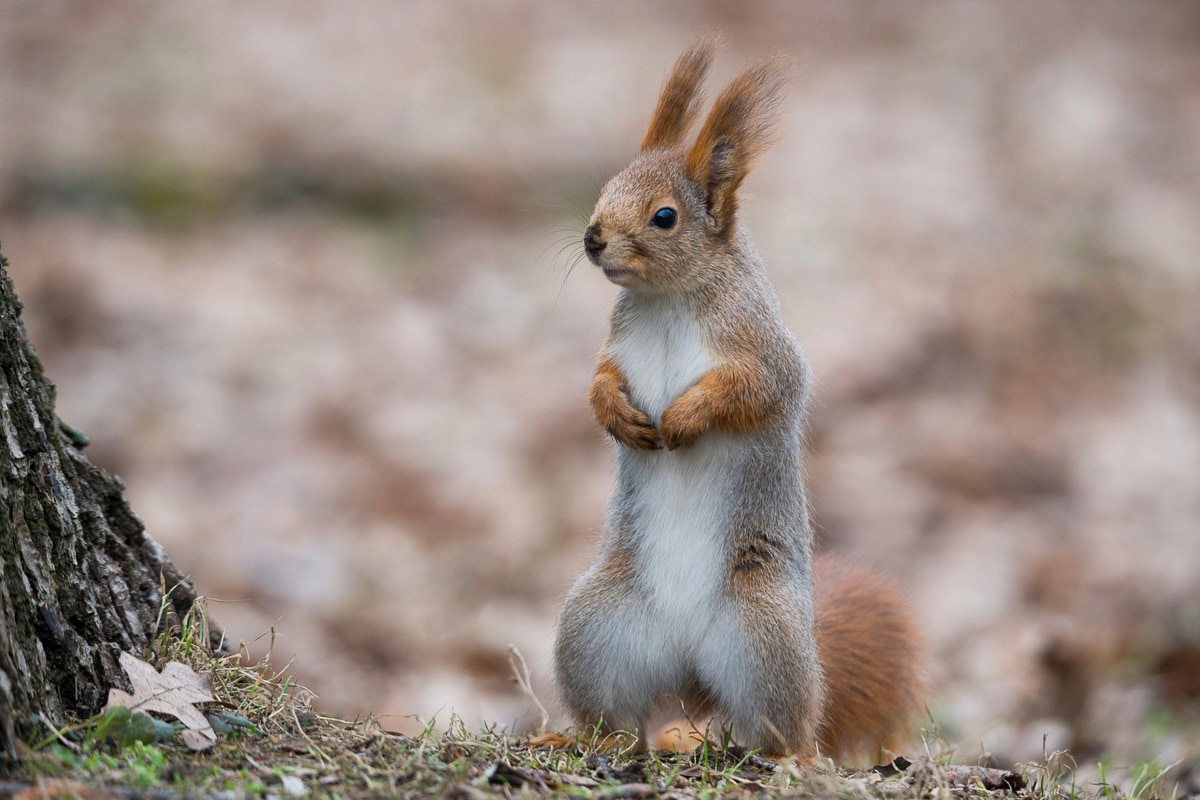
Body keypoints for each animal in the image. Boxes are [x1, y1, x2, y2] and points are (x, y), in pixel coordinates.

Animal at [552, 36, 927, 763]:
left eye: (664, 217)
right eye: (606, 189)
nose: (592, 238)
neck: (669, 300)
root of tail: (686, 668)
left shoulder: (763, 347)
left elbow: (758, 392)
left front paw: (685, 416)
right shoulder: (617, 346)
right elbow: (599, 379)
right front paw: (616, 414)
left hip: (762, 634)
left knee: (784, 724)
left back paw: (787, 755)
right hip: (596, 630)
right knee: (614, 717)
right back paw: (578, 737)